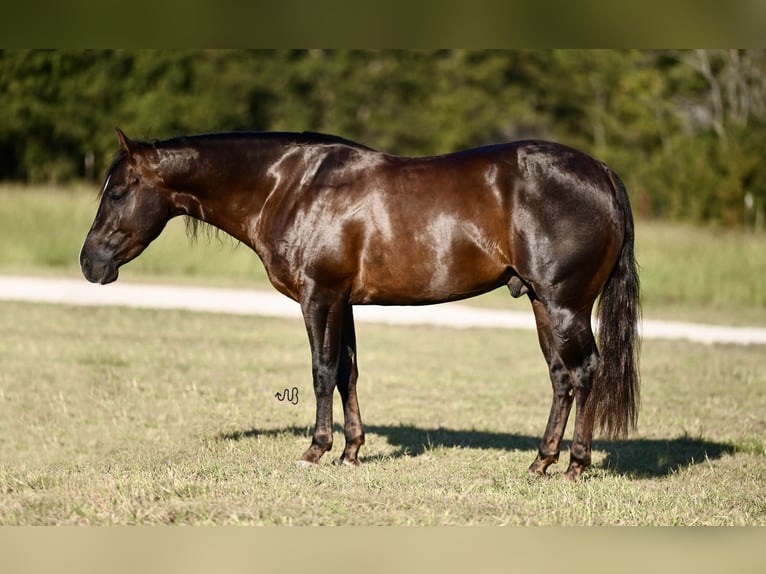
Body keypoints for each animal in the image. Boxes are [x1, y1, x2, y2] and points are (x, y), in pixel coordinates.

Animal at [81, 129, 640, 482]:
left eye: (119, 191)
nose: (89, 263)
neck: (289, 186)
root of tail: (603, 172)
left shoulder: (319, 296)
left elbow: (322, 370)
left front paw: (316, 450)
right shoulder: (343, 303)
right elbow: (347, 371)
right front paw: (351, 451)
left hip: (565, 304)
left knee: (585, 371)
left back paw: (575, 466)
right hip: (543, 304)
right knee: (561, 377)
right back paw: (541, 462)